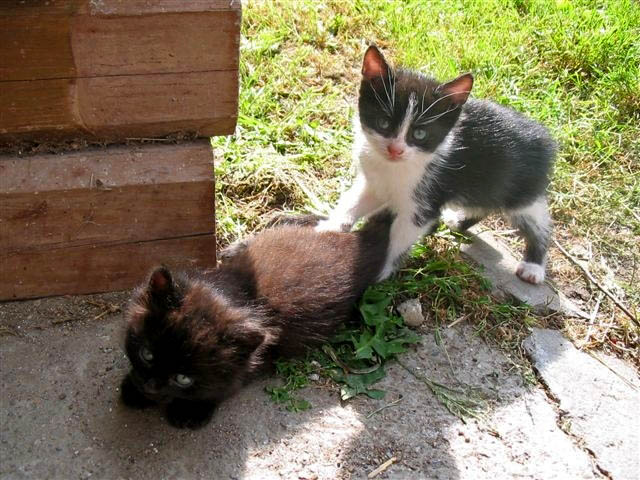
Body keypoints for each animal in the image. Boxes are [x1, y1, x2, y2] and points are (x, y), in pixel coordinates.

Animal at [119, 212, 390, 430]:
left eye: (183, 379)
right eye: (147, 354)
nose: (150, 385)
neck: (233, 291)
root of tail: (363, 245)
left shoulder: (259, 356)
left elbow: (229, 386)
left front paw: (189, 411)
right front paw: (135, 389)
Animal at [318, 45, 556, 284]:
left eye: (420, 134)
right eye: (383, 122)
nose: (395, 150)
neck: (396, 166)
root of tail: (545, 137)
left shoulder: (425, 201)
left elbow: (401, 236)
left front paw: (381, 269)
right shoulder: (375, 181)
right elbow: (354, 201)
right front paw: (331, 227)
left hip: (523, 192)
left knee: (537, 222)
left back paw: (534, 265)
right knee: (484, 203)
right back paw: (458, 221)